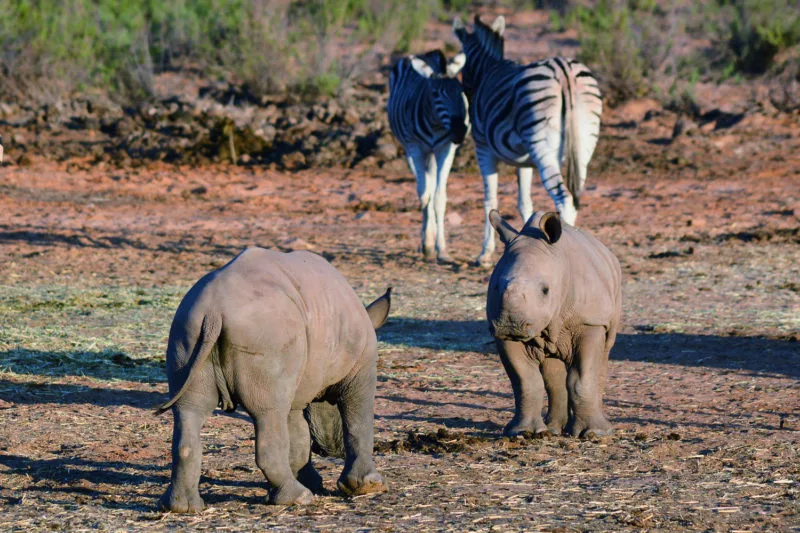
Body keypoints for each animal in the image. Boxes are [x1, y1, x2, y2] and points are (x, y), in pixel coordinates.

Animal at [155, 247, 392, 510]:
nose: (331, 450)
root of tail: (214, 310)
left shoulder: (298, 382)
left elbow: (298, 435)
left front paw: (313, 483)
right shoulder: (360, 369)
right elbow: (358, 421)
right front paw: (368, 486)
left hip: (187, 327)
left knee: (190, 410)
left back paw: (183, 507)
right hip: (265, 333)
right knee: (267, 413)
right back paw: (298, 498)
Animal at [386, 50, 468, 262]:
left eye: (461, 91)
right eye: (436, 93)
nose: (460, 131)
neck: (436, 123)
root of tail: (427, 54)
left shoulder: (446, 149)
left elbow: (439, 198)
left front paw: (442, 250)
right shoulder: (415, 147)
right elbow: (424, 196)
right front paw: (427, 245)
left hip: (431, 153)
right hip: (412, 149)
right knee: (425, 188)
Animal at [454, 15, 604, 264]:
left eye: (463, 67)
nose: (466, 94)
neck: (487, 69)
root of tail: (564, 70)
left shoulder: (483, 148)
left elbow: (489, 200)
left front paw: (484, 254)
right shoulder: (524, 160)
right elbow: (524, 202)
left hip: (542, 145)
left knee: (564, 199)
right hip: (584, 143)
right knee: (575, 195)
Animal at [484, 210, 620, 438]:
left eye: (545, 290)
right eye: (495, 286)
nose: (510, 324)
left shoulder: (590, 322)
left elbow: (582, 378)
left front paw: (592, 433)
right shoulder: (503, 334)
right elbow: (525, 380)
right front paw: (524, 432)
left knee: (604, 353)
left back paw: (601, 429)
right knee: (552, 371)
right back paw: (554, 429)